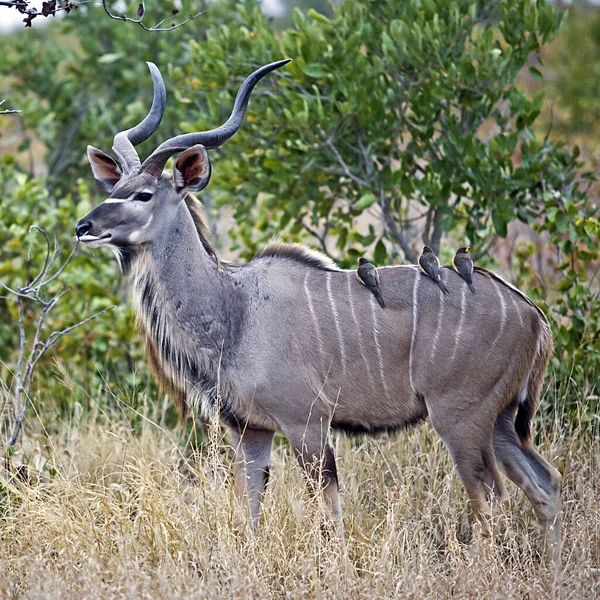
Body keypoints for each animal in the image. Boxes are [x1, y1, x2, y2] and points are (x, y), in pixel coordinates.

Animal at [76, 58, 564, 556]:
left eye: (143, 194)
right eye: (115, 186)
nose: (84, 226)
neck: (235, 309)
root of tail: (534, 316)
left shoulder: (307, 424)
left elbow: (328, 510)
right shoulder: (249, 431)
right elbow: (250, 509)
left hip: (460, 419)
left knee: (490, 497)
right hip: (501, 421)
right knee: (545, 483)